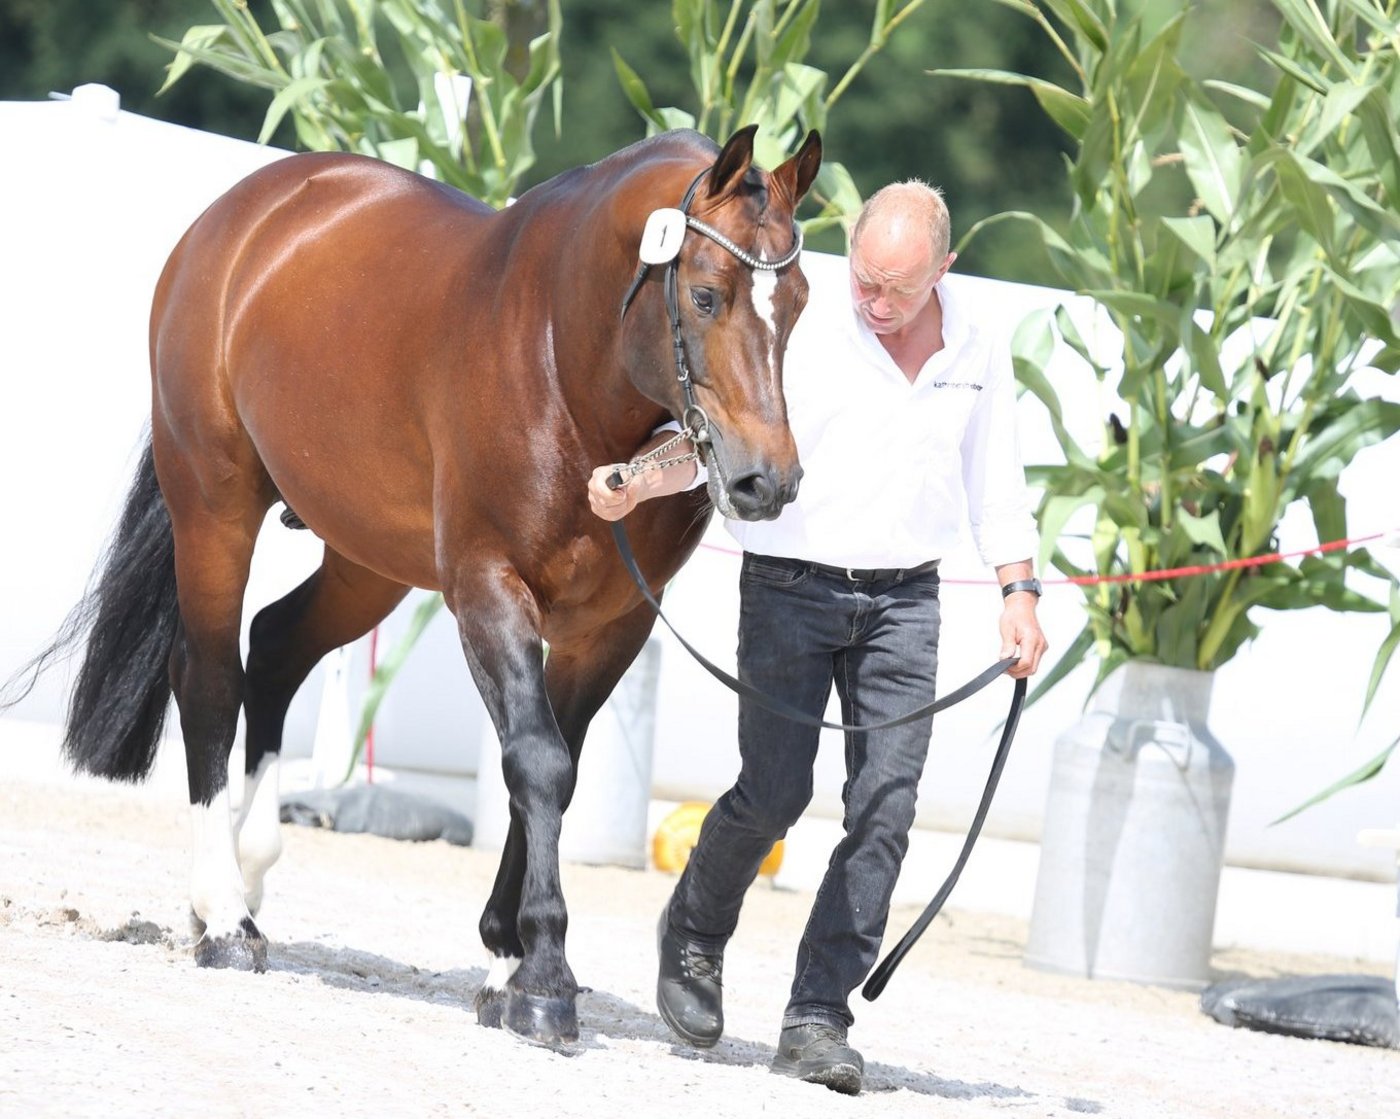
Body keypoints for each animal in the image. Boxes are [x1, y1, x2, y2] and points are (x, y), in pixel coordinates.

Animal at [43, 124, 822, 1047]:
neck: (563, 363)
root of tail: (240, 212)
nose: (767, 482)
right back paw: (225, 913)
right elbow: (537, 760)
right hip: (213, 508)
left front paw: (505, 962)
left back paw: (245, 873)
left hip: (366, 557)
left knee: (274, 649)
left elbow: (557, 763)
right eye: (705, 295)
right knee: (208, 680)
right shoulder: (486, 587)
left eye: (800, 301)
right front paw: (543, 978)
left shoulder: (613, 625)